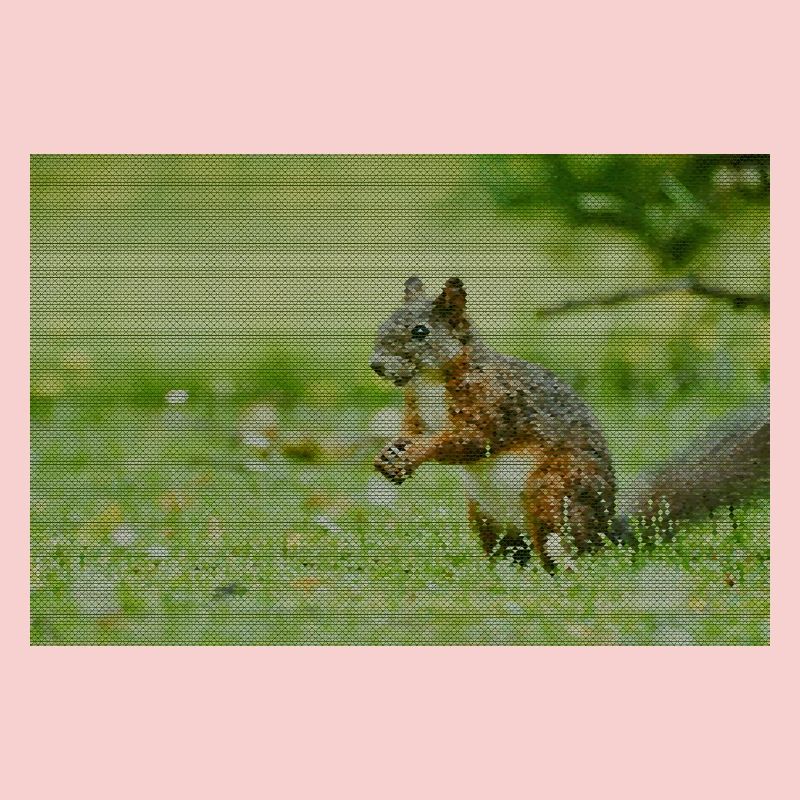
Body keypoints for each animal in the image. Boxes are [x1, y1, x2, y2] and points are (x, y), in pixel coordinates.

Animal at [370, 276, 769, 570]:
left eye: (420, 332)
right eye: (385, 322)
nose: (376, 365)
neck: (431, 381)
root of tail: (606, 530)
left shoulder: (497, 402)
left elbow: (470, 439)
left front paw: (416, 453)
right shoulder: (417, 410)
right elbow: (412, 430)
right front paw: (390, 453)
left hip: (553, 492)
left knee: (567, 547)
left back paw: (562, 572)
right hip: (485, 516)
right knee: (513, 553)